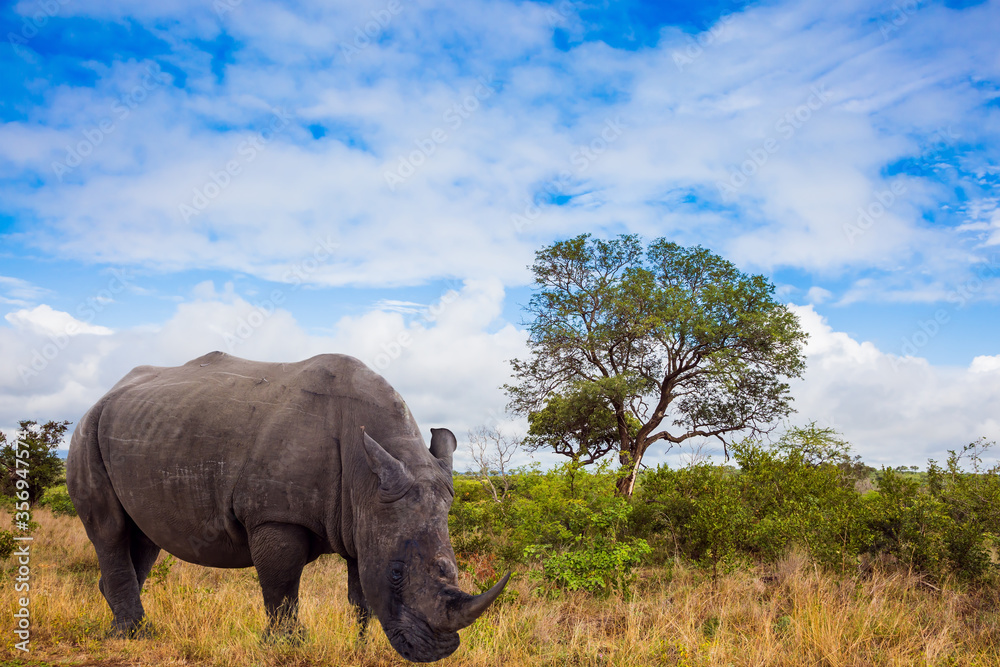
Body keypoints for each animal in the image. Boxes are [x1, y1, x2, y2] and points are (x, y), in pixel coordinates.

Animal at [66, 351, 508, 663]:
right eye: (397, 573)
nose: (437, 652)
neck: (367, 474)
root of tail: (104, 394)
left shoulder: (364, 516)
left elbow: (361, 593)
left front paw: (360, 646)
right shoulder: (275, 517)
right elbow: (281, 584)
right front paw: (286, 646)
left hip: (137, 429)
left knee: (143, 538)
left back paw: (121, 623)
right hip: (86, 430)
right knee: (110, 529)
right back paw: (135, 635)